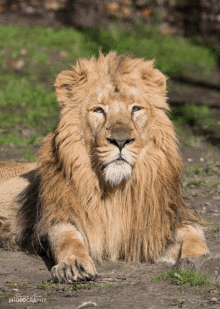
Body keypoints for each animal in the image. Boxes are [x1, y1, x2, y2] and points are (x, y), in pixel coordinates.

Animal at [0, 51, 210, 282]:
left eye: (136, 109)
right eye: (99, 110)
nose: (120, 141)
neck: (114, 189)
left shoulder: (164, 219)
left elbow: (194, 233)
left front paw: (200, 261)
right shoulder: (59, 216)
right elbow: (67, 238)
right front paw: (73, 264)